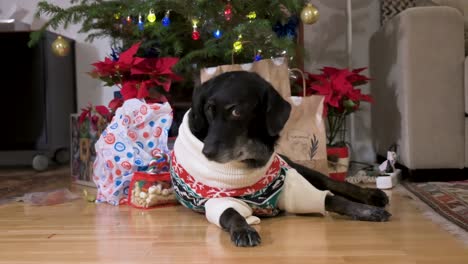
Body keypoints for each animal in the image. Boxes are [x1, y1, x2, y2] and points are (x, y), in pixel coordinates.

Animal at [185, 70, 390, 248]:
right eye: (209, 109)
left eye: (236, 111)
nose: (207, 152)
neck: (253, 160)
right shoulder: (217, 201)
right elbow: (231, 213)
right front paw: (244, 230)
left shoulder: (294, 189)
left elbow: (334, 200)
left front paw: (367, 211)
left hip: (299, 169)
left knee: (334, 184)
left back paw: (373, 196)